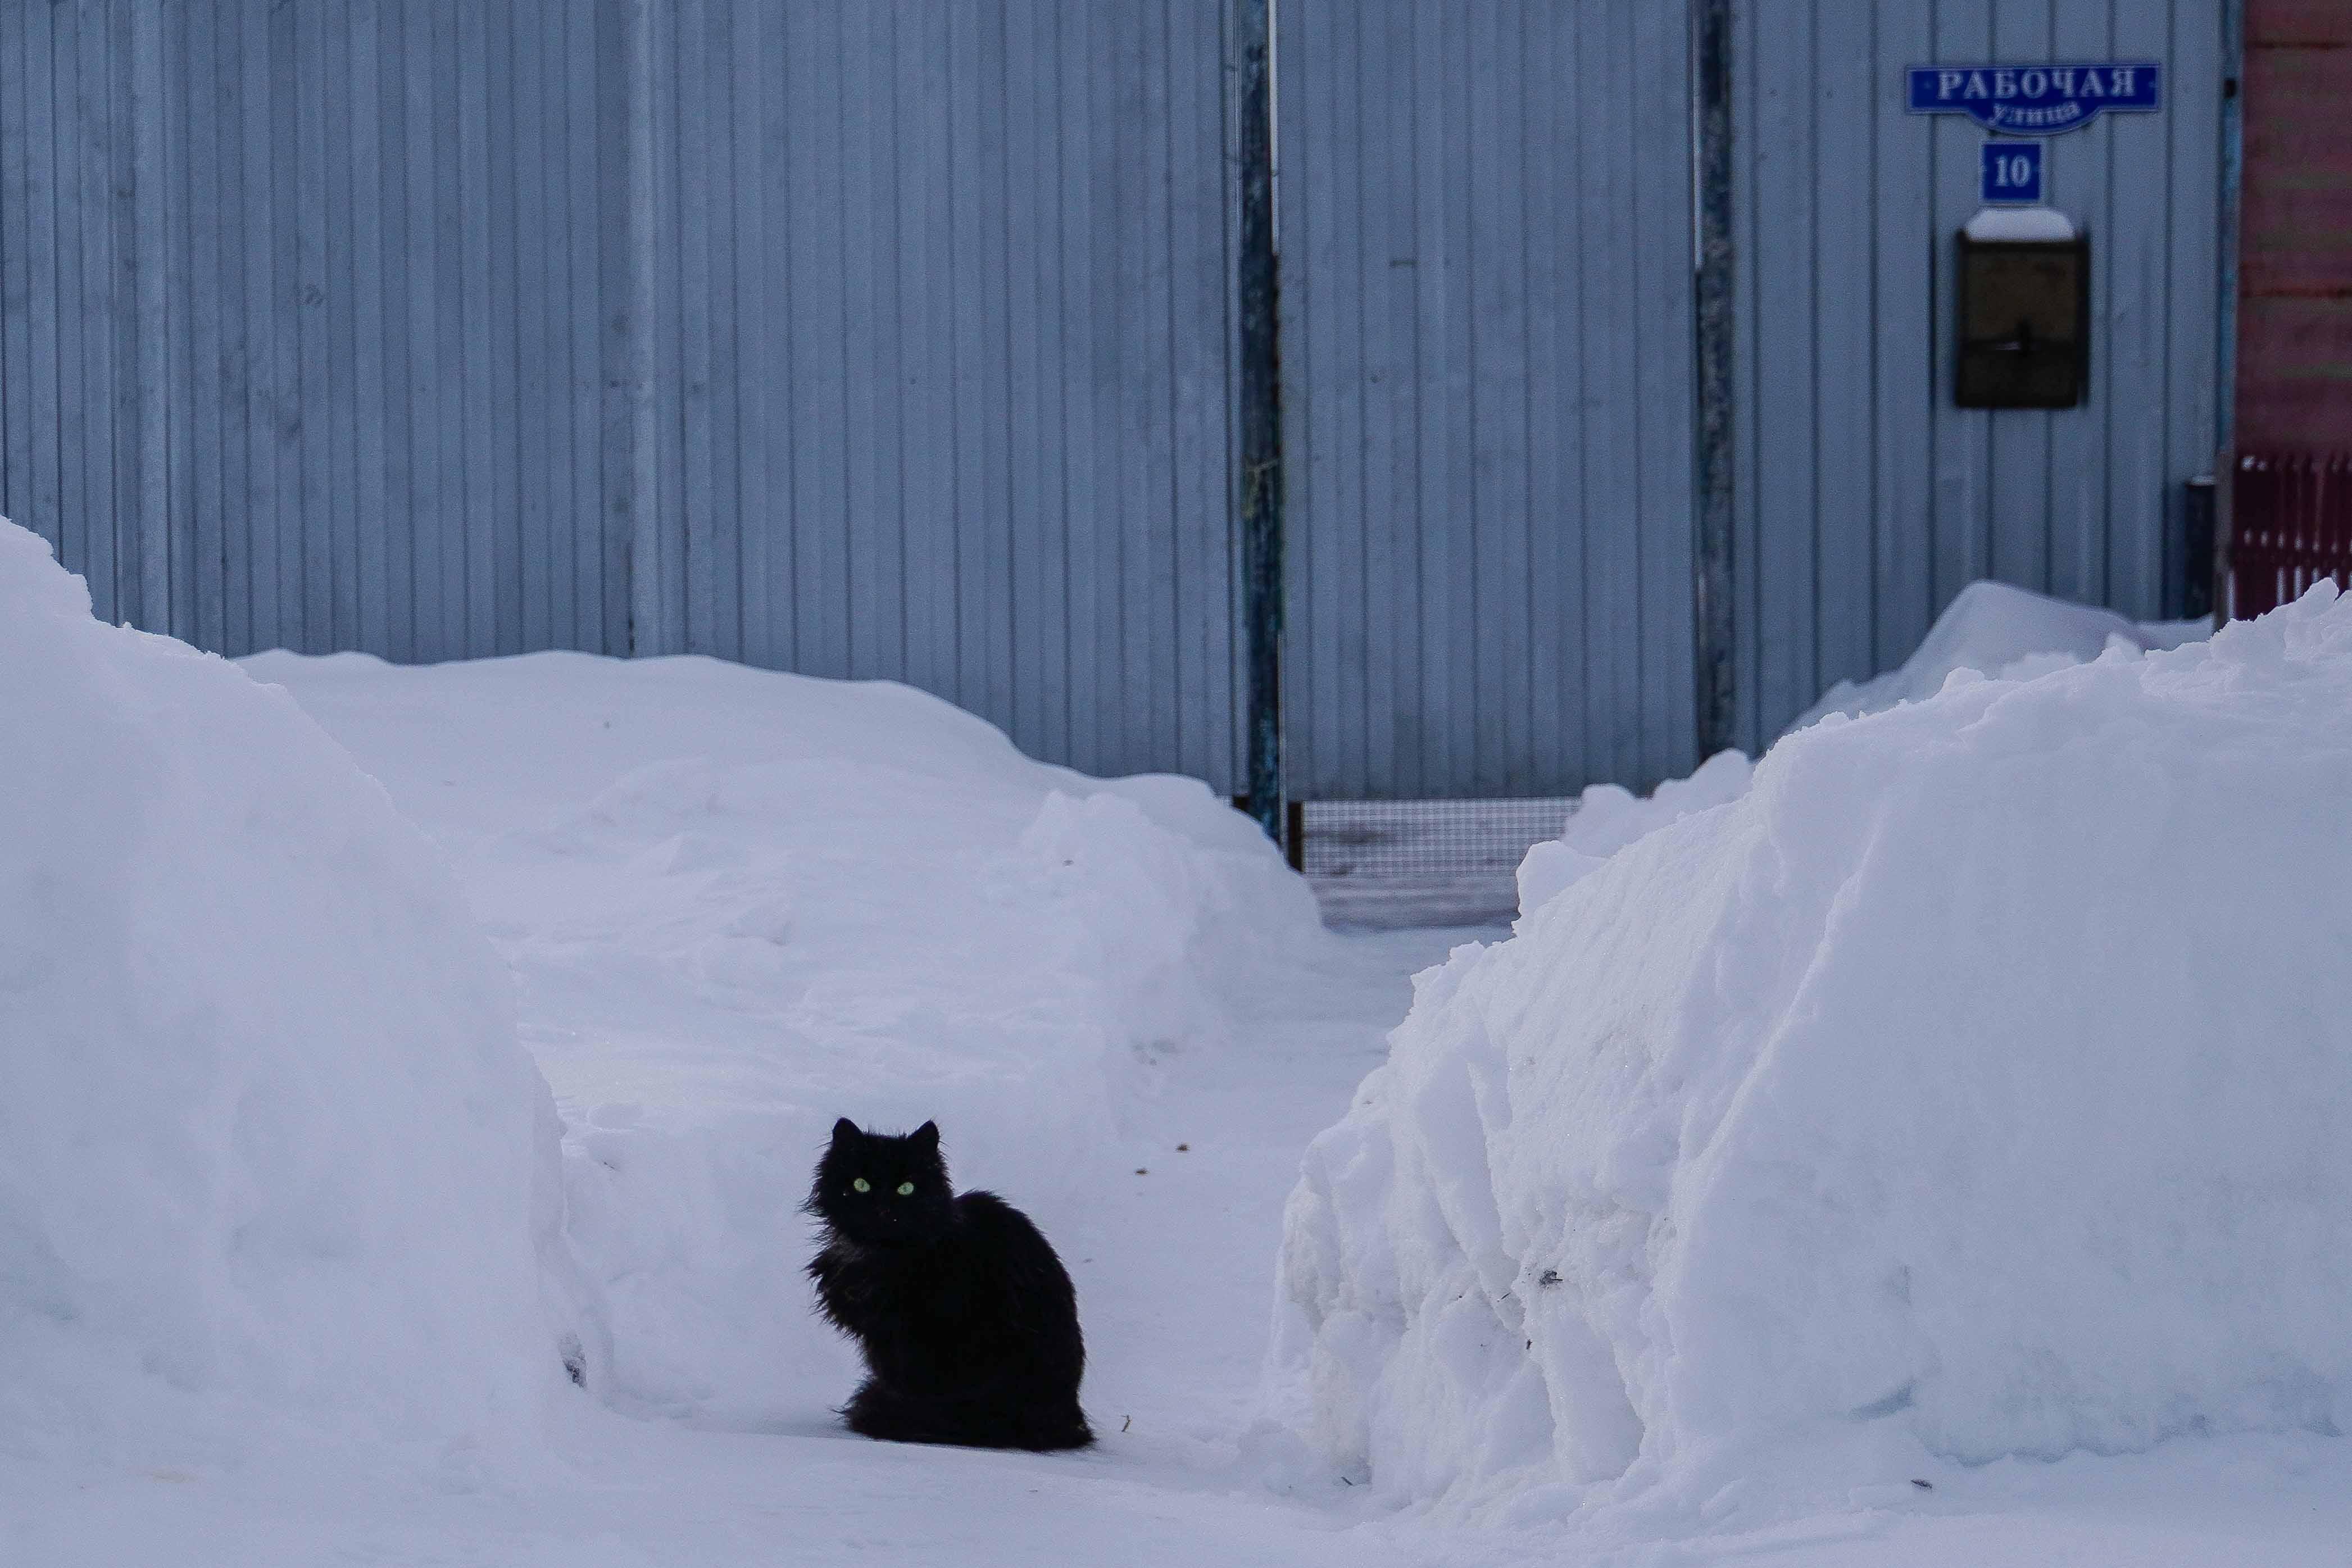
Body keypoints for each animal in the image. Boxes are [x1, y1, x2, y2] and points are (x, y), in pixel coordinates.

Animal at [804, 1124, 1096, 1457]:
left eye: (907, 1188)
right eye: (861, 1185)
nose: (883, 1209)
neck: (879, 1257)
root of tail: (1067, 1416)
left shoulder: (911, 1338)